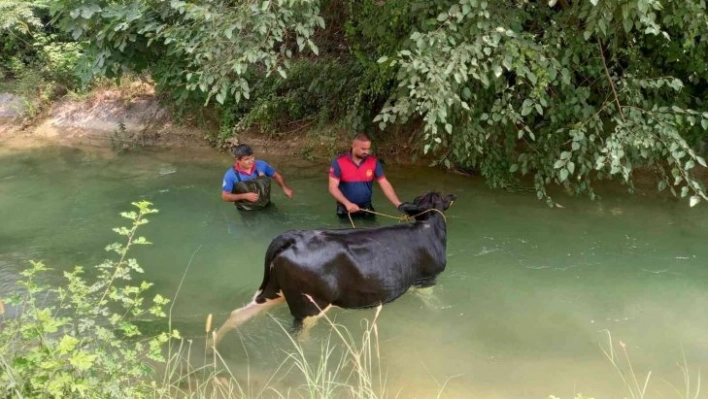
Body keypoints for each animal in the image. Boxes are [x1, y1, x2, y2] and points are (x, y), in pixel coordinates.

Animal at [210, 192, 456, 348]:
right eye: (441, 196)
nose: (452, 196)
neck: (428, 226)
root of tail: (290, 237)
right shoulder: (427, 280)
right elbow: (434, 303)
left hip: (275, 290)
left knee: (238, 314)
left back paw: (211, 346)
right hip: (311, 303)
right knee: (299, 334)